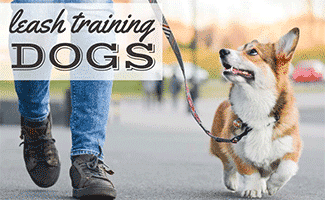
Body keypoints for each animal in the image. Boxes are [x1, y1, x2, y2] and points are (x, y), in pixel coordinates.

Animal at [210, 28, 302, 198]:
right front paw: (252, 189)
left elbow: (286, 169)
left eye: (252, 51)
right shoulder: (236, 148)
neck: (256, 102)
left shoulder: (292, 147)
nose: (222, 51)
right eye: (239, 49)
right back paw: (231, 182)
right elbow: (249, 171)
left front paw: (272, 186)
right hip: (218, 143)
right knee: (227, 164)